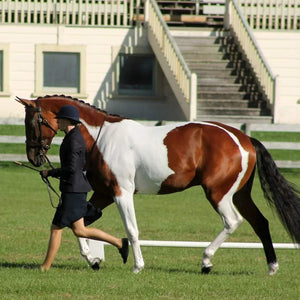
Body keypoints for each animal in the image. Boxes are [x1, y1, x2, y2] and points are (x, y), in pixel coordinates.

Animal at [17, 95, 300, 276]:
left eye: (32, 122)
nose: (33, 158)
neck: (102, 139)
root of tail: (243, 138)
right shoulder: (103, 193)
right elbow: (81, 225)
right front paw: (93, 259)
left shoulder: (121, 193)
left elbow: (131, 230)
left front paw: (136, 266)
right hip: (240, 194)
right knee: (260, 222)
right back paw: (271, 267)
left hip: (218, 193)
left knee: (233, 222)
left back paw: (206, 261)